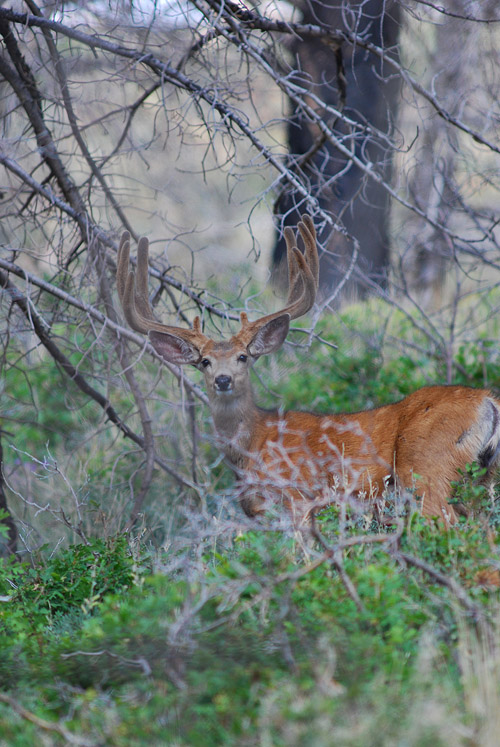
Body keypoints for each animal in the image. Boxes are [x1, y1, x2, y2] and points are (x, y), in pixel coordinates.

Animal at [115, 216, 500, 524]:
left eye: (243, 357)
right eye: (204, 362)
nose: (223, 380)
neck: (252, 448)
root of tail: (488, 402)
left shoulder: (299, 499)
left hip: (425, 470)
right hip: (482, 482)